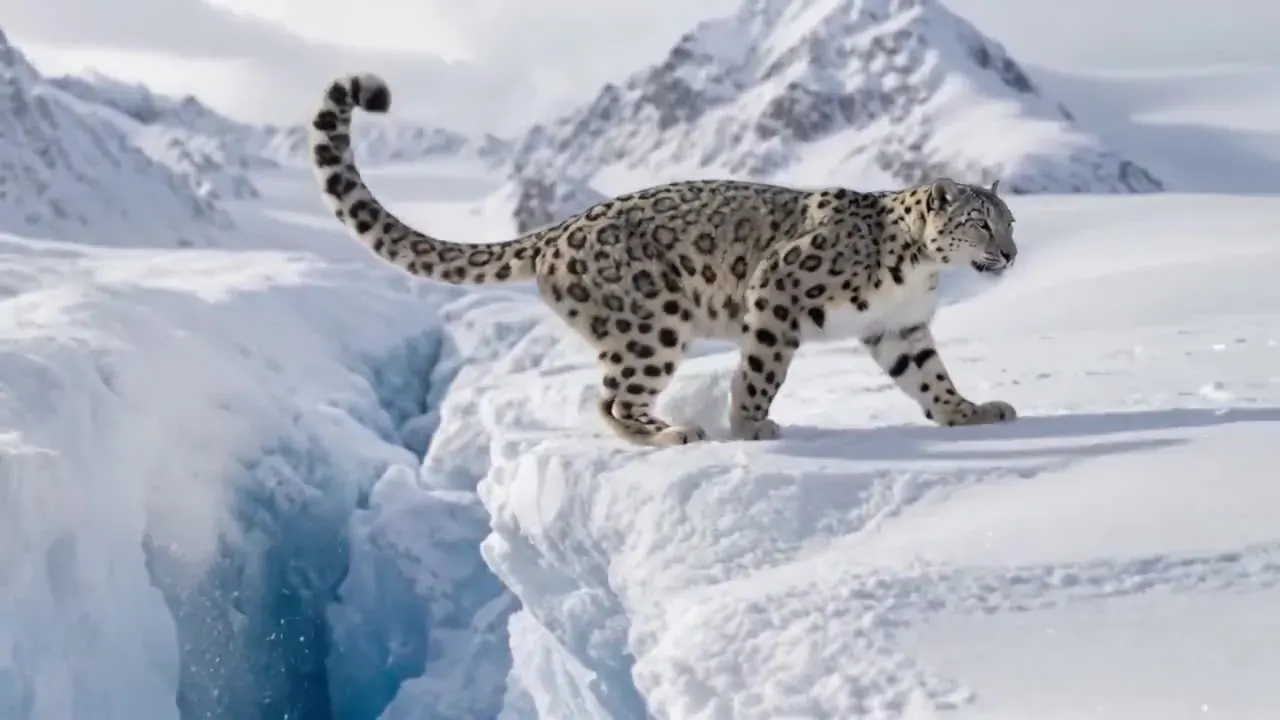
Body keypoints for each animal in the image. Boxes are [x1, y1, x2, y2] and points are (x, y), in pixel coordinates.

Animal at [309, 73, 1021, 447]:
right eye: (979, 220)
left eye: (1010, 220)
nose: (1010, 254)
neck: (921, 272)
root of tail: (559, 229)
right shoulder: (779, 291)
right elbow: (761, 369)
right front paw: (751, 425)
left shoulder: (900, 327)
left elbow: (928, 376)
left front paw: (969, 413)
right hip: (654, 323)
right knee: (613, 398)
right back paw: (670, 432)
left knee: (604, 396)